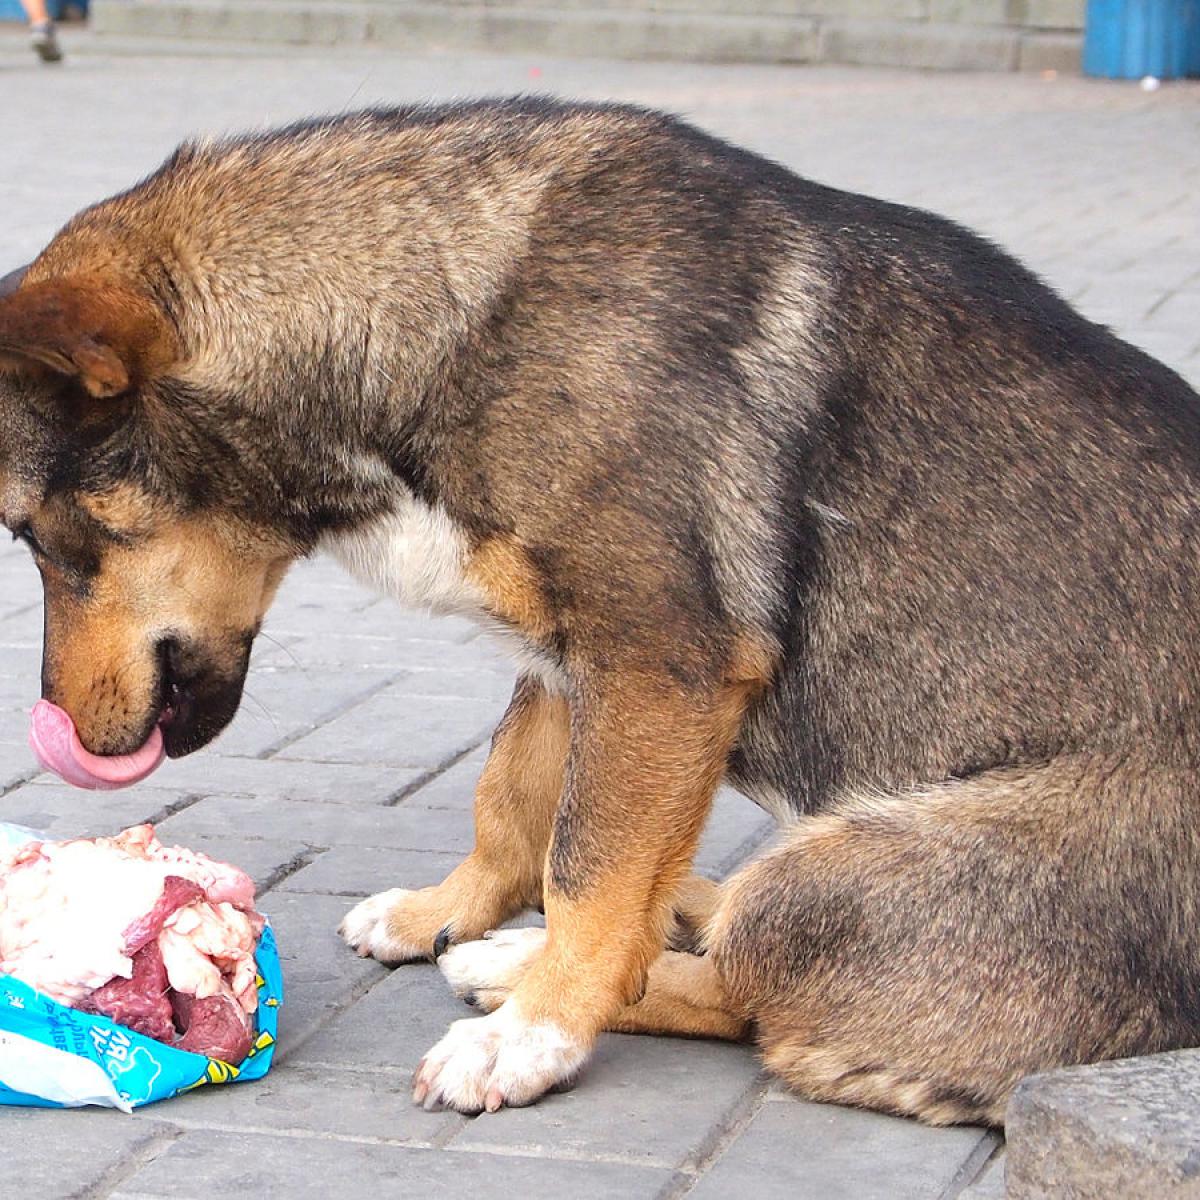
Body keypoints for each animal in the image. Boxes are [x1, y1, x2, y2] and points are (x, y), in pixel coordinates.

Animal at [2, 96, 1200, 1123]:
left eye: (24, 534)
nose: (59, 734)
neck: (445, 326)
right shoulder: (567, 659)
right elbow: (515, 802)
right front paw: (449, 911)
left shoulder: (655, 665)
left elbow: (587, 868)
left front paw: (533, 1033)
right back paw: (633, 918)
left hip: (835, 873)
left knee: (749, 998)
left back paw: (531, 976)